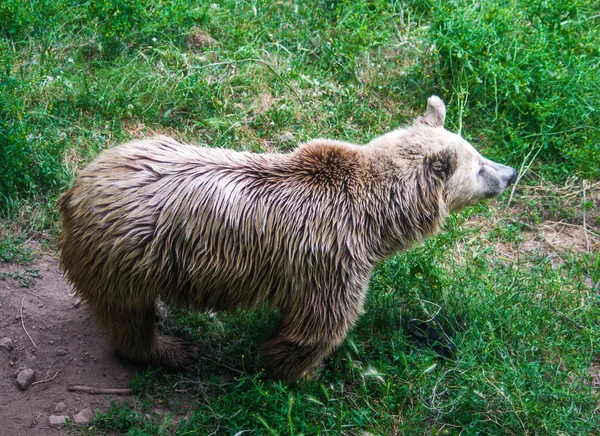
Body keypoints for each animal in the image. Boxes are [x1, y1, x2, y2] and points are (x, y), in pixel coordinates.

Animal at [57, 97, 516, 380]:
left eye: (478, 152)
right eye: (478, 165)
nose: (510, 172)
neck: (375, 220)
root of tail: (76, 188)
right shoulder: (334, 257)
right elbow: (320, 322)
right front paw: (301, 371)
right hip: (127, 255)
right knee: (128, 317)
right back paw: (171, 350)